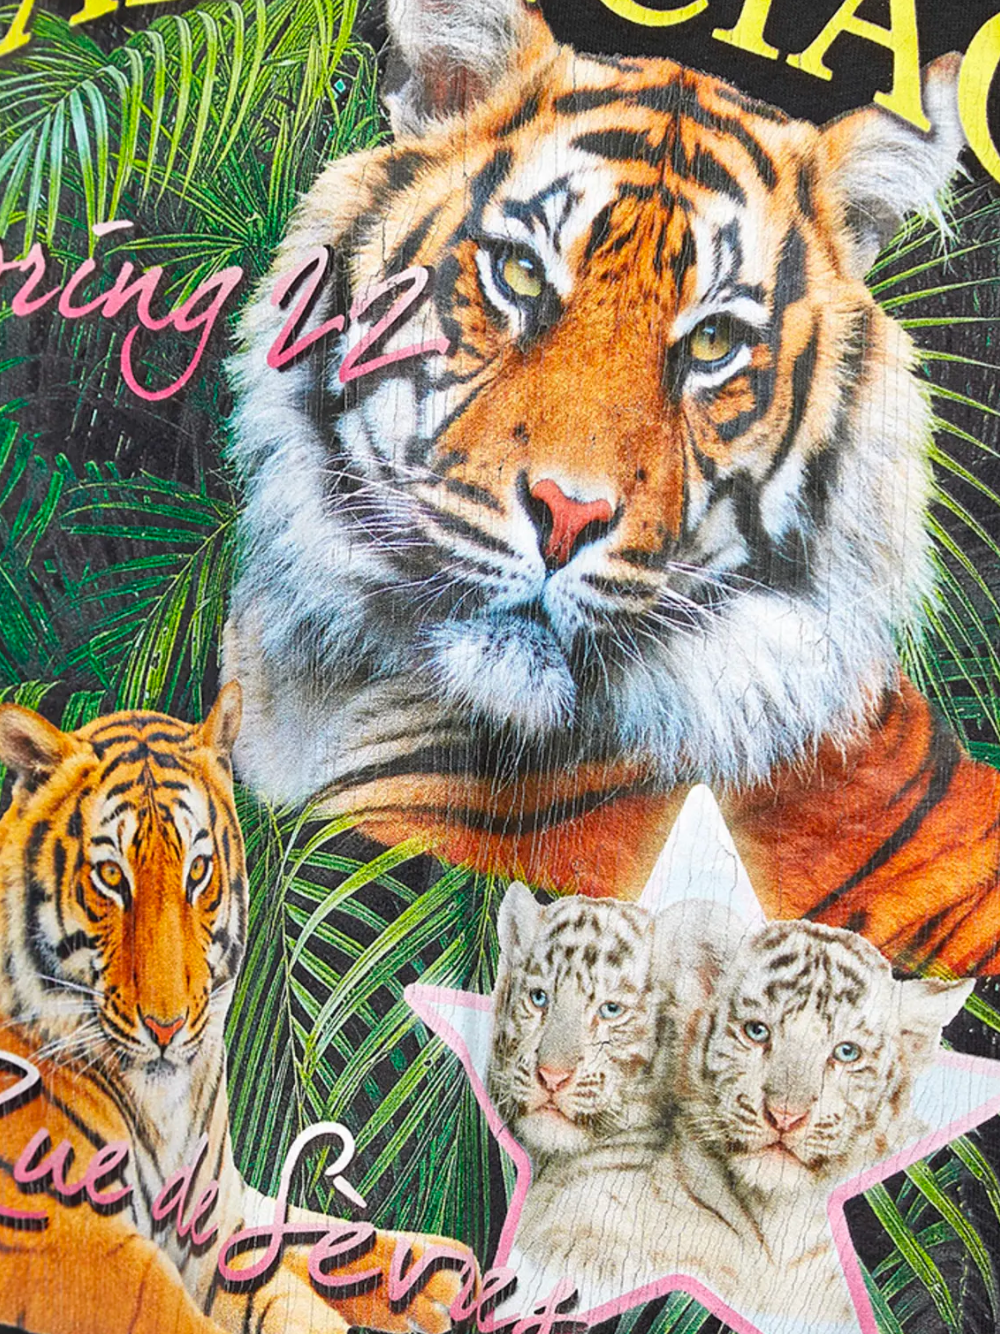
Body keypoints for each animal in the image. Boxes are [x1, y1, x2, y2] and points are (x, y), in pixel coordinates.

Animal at [0, 685, 468, 1334]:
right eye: (111, 876)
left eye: (197, 871)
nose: (166, 1025)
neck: (165, 1110)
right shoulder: (83, 1247)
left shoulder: (219, 1209)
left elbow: (300, 1235)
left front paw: (437, 1271)